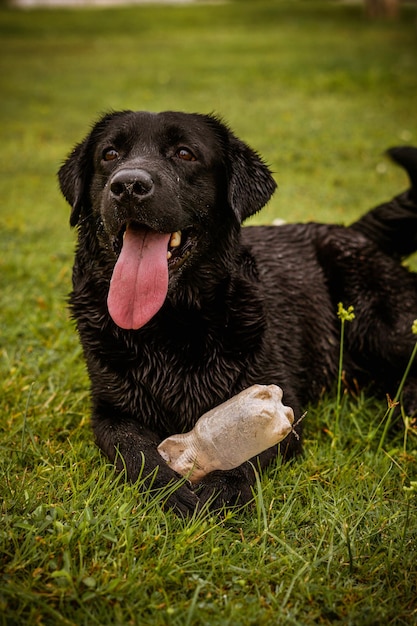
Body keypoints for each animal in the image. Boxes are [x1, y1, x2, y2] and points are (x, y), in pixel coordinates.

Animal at [57, 111, 416, 512]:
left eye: (184, 153)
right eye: (110, 154)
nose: (128, 185)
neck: (172, 327)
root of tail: (356, 231)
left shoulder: (281, 400)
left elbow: (247, 448)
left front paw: (223, 486)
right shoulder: (109, 409)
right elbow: (132, 447)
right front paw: (168, 488)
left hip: (379, 325)